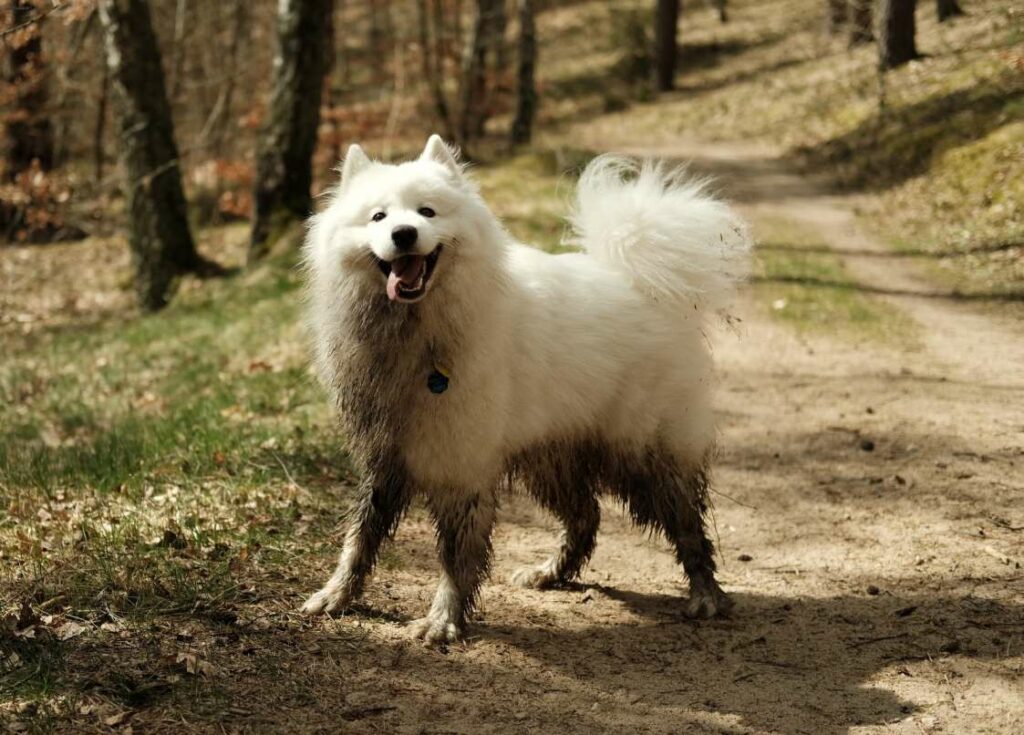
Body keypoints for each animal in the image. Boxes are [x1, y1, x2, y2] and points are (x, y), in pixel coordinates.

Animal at [299, 135, 749, 642]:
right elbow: (361, 536)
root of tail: (642, 282)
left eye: (427, 212)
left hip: (644, 455)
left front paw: (443, 619)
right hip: (552, 456)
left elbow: (456, 554)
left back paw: (706, 596)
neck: (415, 334)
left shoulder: (461, 463)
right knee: (586, 516)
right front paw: (336, 595)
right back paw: (550, 573)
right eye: (378, 217)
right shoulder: (385, 457)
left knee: (687, 525)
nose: (404, 234)